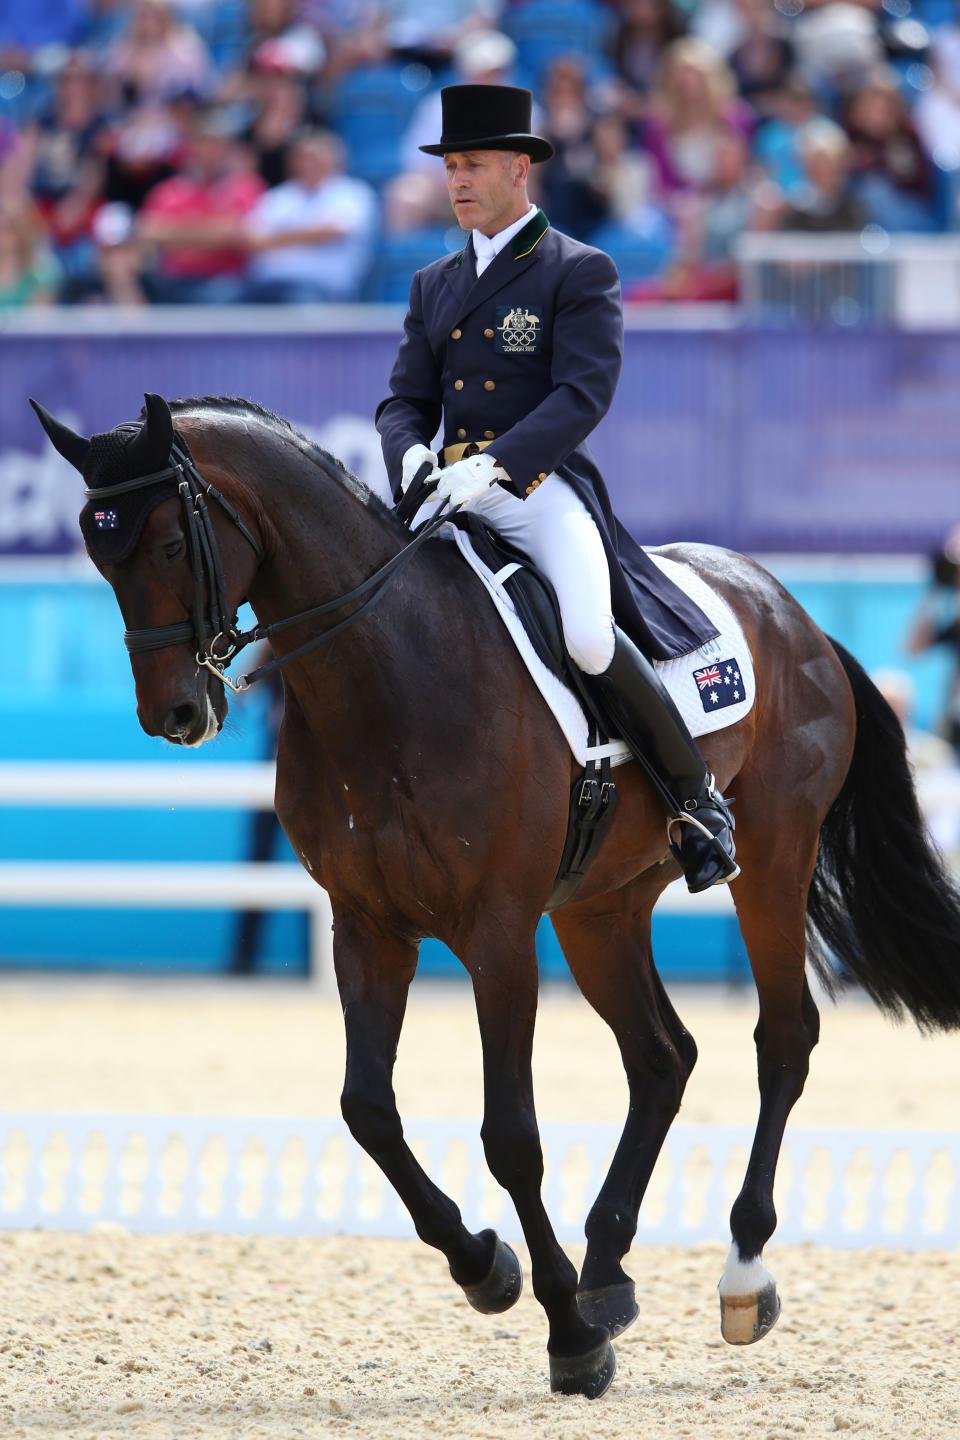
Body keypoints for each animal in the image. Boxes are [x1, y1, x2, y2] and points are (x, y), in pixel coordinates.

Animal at [30, 391, 960, 1393]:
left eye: (169, 545)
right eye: (97, 552)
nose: (175, 715)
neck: (388, 672)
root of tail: (793, 611)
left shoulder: (500, 933)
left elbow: (511, 1136)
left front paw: (569, 1339)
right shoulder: (367, 927)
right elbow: (368, 1111)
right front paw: (490, 1268)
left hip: (776, 857)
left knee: (783, 1040)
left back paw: (739, 1272)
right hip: (599, 909)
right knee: (662, 1057)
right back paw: (607, 1270)